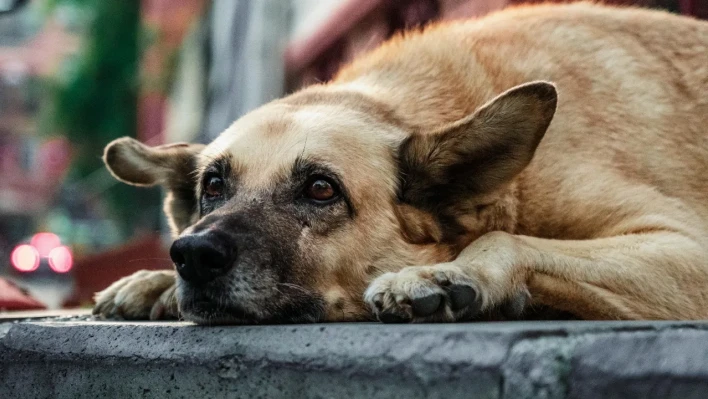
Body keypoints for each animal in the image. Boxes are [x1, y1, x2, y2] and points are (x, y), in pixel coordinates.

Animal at [92, 0, 708, 324]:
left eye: (321, 189)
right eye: (213, 187)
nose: (192, 255)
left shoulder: (687, 248)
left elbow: (506, 239)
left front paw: (448, 273)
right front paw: (155, 282)